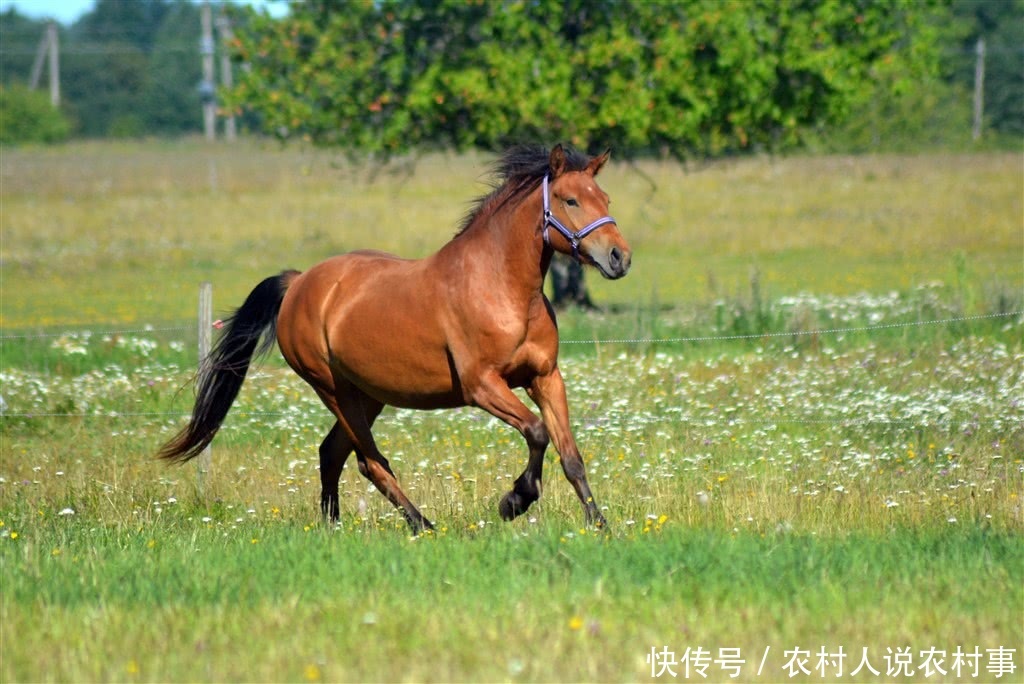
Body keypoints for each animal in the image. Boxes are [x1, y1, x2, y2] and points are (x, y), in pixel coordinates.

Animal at [159, 141, 630, 532]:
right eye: (571, 200)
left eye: (606, 199)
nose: (619, 258)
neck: (502, 288)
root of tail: (298, 283)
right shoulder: (482, 385)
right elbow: (536, 432)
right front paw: (514, 501)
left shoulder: (545, 378)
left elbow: (571, 455)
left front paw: (599, 525)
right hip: (334, 390)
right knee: (369, 462)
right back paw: (421, 524)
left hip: (369, 394)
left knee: (331, 453)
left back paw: (334, 527)